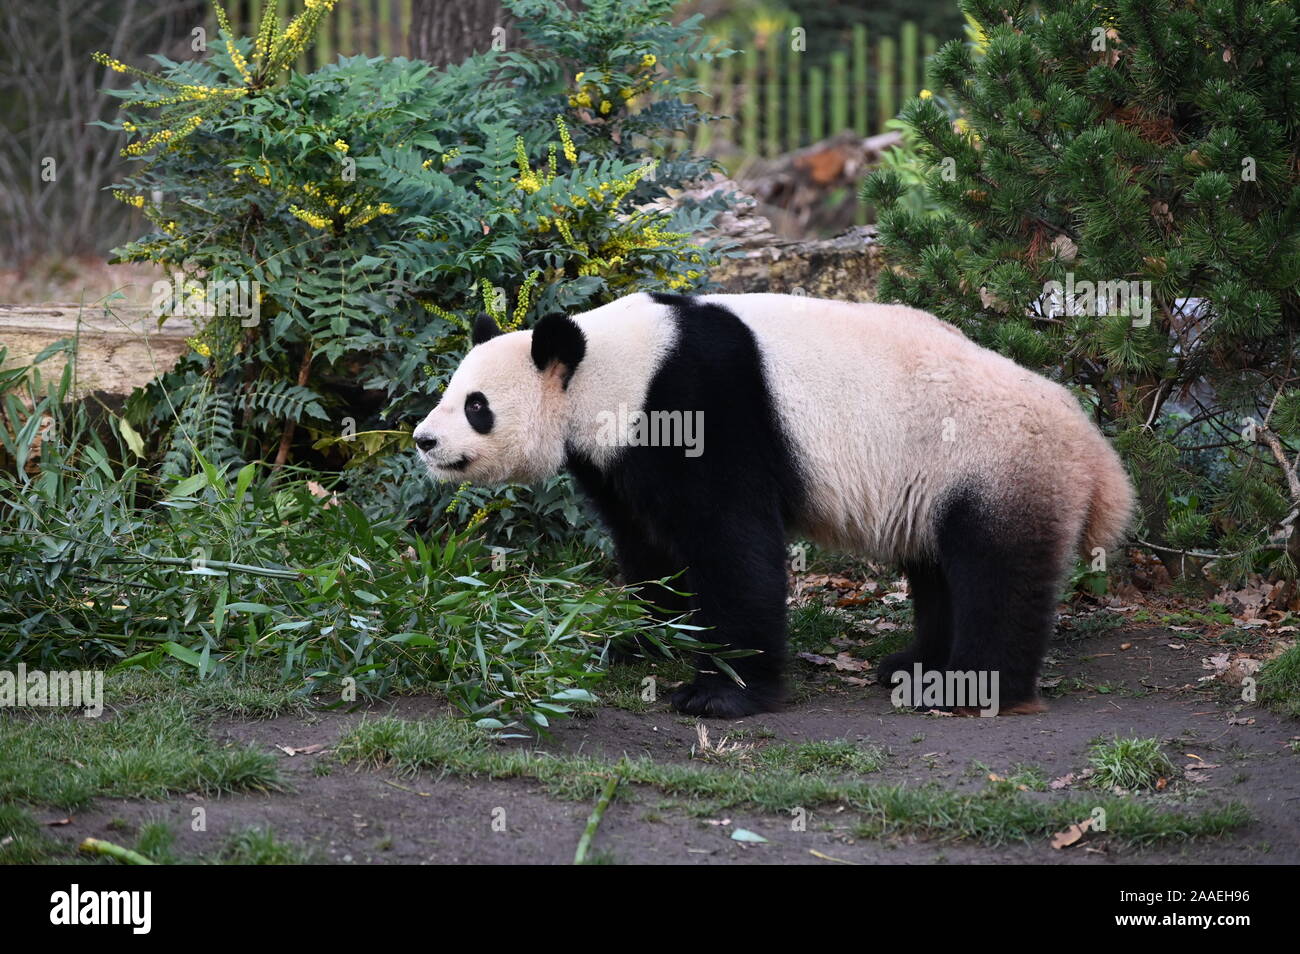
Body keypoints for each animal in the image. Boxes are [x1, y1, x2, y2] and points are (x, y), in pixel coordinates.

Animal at [410, 295, 1133, 722]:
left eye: (476, 405)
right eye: (449, 392)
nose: (424, 440)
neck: (610, 369)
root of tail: (1096, 453)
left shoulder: (699, 407)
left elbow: (732, 544)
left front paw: (716, 692)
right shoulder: (624, 456)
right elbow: (650, 547)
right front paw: (641, 643)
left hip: (995, 461)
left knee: (995, 574)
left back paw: (968, 687)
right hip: (937, 482)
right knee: (939, 571)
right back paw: (913, 665)